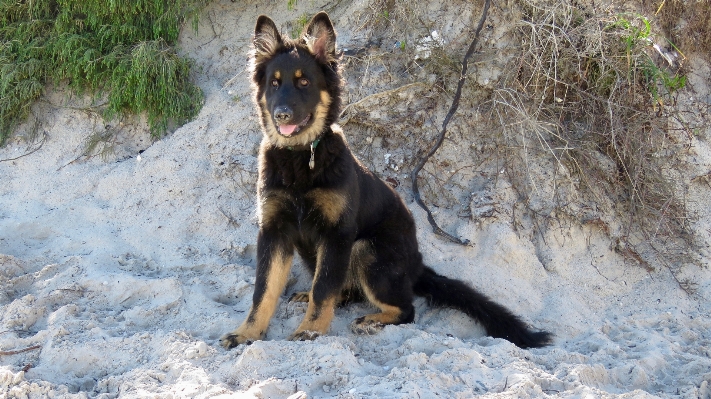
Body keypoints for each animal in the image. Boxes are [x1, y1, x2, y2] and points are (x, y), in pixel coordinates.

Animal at [220, 11, 552, 350]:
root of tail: (417, 264)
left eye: (304, 82)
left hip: (367, 249)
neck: (301, 157)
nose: (282, 115)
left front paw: (310, 331)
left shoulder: (337, 235)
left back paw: (371, 320)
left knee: (404, 309)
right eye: (274, 84)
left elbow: (323, 289)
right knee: (345, 292)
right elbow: (263, 292)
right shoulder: (274, 232)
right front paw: (247, 333)